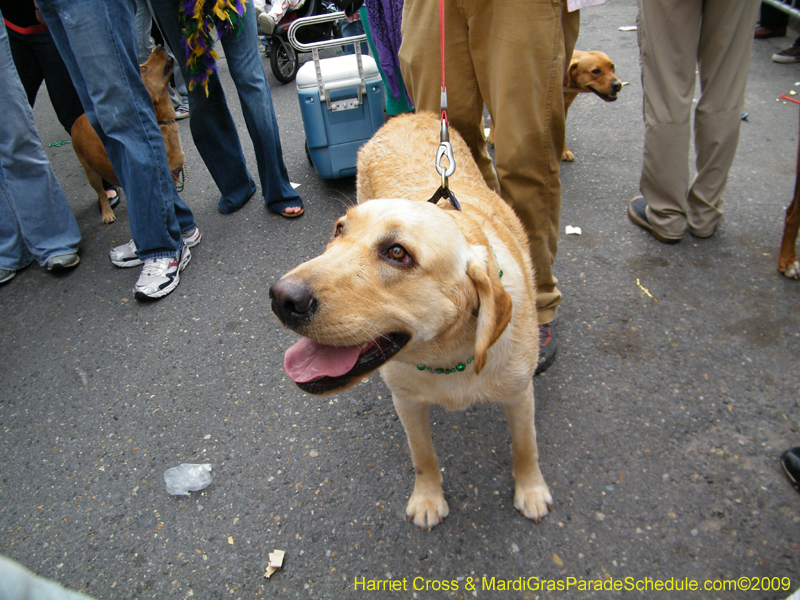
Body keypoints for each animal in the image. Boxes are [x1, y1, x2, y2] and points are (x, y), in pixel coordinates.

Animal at [69, 47, 185, 224]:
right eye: (144, 68)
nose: (159, 45)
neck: (160, 122)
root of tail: (78, 119)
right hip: (91, 172)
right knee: (101, 193)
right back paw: (107, 212)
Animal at [268, 112, 552, 528]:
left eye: (398, 253)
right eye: (339, 230)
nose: (281, 298)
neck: (448, 357)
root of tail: (409, 114)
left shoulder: (519, 394)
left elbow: (526, 447)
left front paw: (531, 490)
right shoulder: (407, 403)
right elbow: (423, 457)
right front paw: (428, 498)